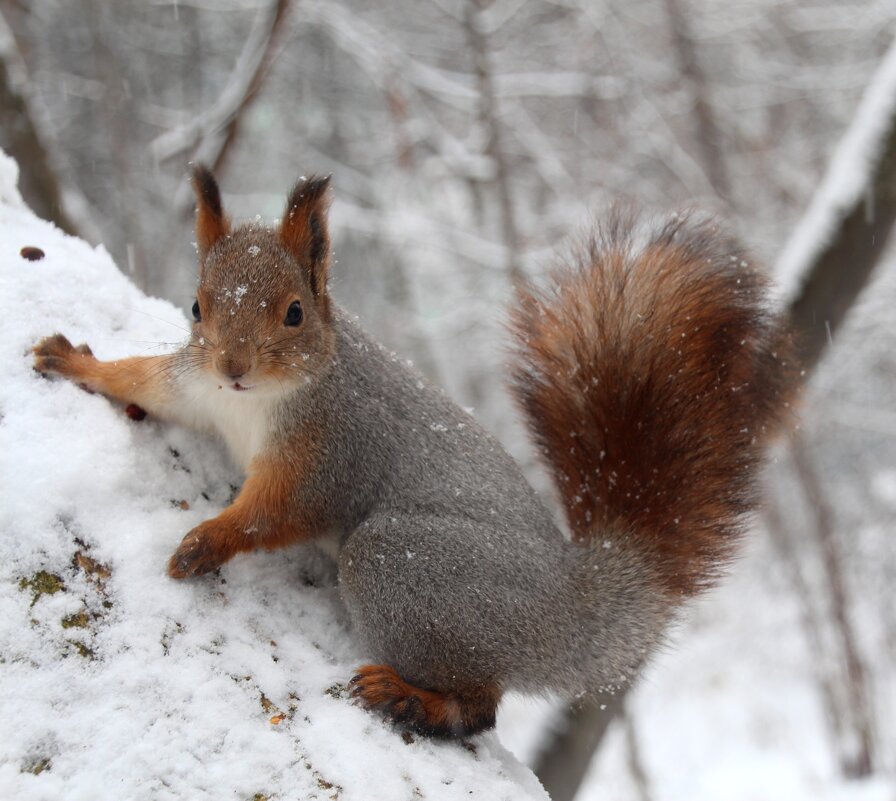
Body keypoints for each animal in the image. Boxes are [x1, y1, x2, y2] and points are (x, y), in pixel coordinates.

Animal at [33, 167, 792, 736]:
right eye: (196, 306)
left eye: (295, 312)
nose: (234, 364)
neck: (253, 402)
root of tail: (576, 610)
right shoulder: (196, 388)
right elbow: (141, 381)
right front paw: (71, 359)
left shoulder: (332, 447)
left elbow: (276, 510)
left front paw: (204, 542)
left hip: (409, 571)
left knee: (481, 706)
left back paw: (412, 698)